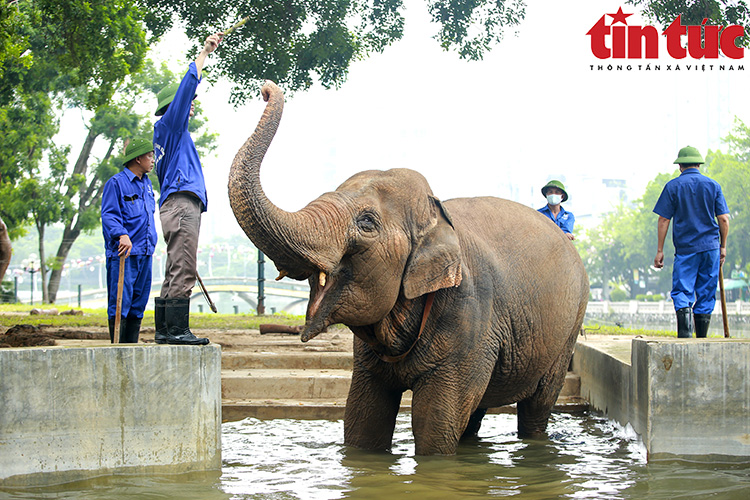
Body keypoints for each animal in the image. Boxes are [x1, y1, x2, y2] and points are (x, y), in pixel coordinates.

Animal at [226, 80, 592, 456]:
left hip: (567, 330)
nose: (266, 88)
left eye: (367, 222)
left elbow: (435, 426)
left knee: (536, 406)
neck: (437, 213)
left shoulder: (469, 318)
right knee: (475, 413)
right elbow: (363, 419)